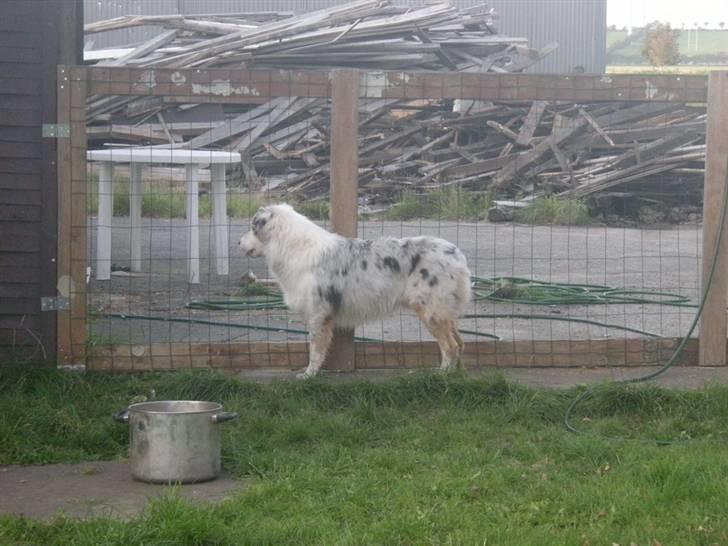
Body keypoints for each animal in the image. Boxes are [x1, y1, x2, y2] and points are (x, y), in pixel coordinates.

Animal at [240, 202, 472, 376]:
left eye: (253, 227)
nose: (239, 243)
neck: (293, 247)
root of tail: (457, 255)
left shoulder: (318, 314)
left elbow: (315, 350)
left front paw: (309, 375)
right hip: (444, 312)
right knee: (460, 343)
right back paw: (457, 374)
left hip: (429, 310)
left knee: (450, 346)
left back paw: (442, 375)